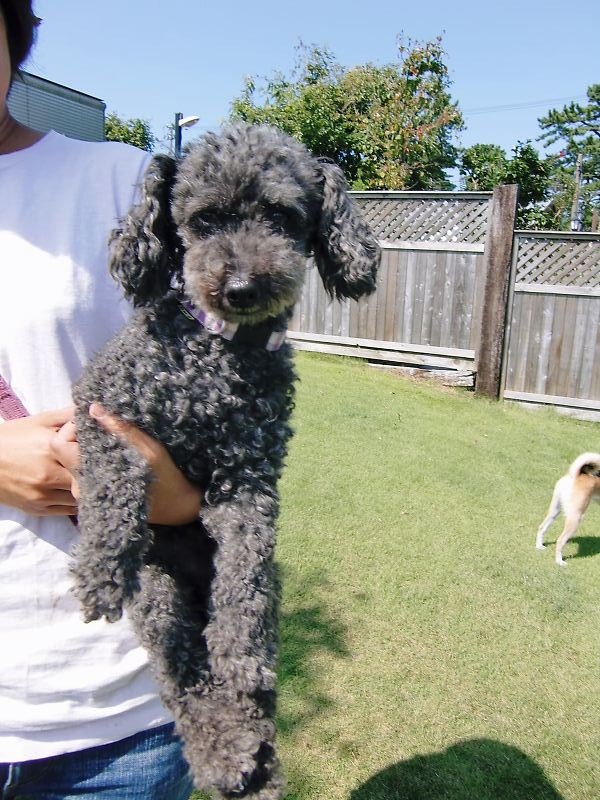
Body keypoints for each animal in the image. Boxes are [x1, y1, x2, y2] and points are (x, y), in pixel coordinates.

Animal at [70, 123, 380, 799]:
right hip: (157, 589)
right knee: (181, 666)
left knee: (242, 674)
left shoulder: (249, 480)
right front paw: (101, 566)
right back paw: (224, 750)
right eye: (204, 221)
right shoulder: (100, 407)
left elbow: (246, 573)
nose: (241, 288)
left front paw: (241, 649)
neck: (213, 359)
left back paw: (250, 757)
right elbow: (114, 478)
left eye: (281, 217)